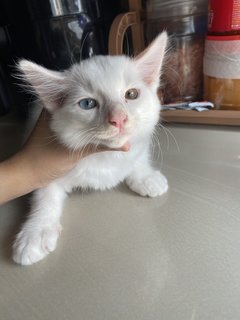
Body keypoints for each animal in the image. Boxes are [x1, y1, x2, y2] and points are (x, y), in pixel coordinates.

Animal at [13, 31, 169, 264]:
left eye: (131, 94)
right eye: (88, 104)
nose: (119, 119)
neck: (106, 156)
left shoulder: (141, 140)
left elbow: (138, 156)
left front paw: (145, 176)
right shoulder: (47, 167)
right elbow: (44, 195)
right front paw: (35, 232)